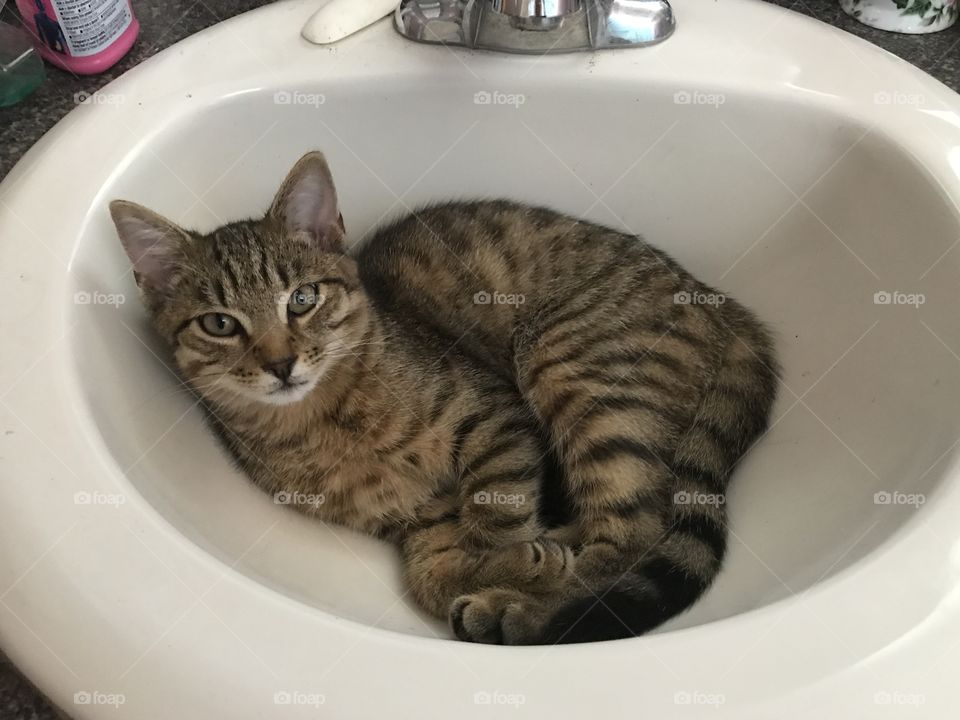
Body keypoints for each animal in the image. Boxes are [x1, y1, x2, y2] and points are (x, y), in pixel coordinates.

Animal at [109, 152, 776, 648]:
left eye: (302, 298)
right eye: (219, 324)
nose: (280, 364)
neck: (325, 424)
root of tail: (723, 307)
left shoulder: (495, 415)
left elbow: (493, 516)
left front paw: (514, 565)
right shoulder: (415, 516)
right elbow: (429, 574)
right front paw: (501, 566)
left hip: (577, 372)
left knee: (632, 535)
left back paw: (521, 610)